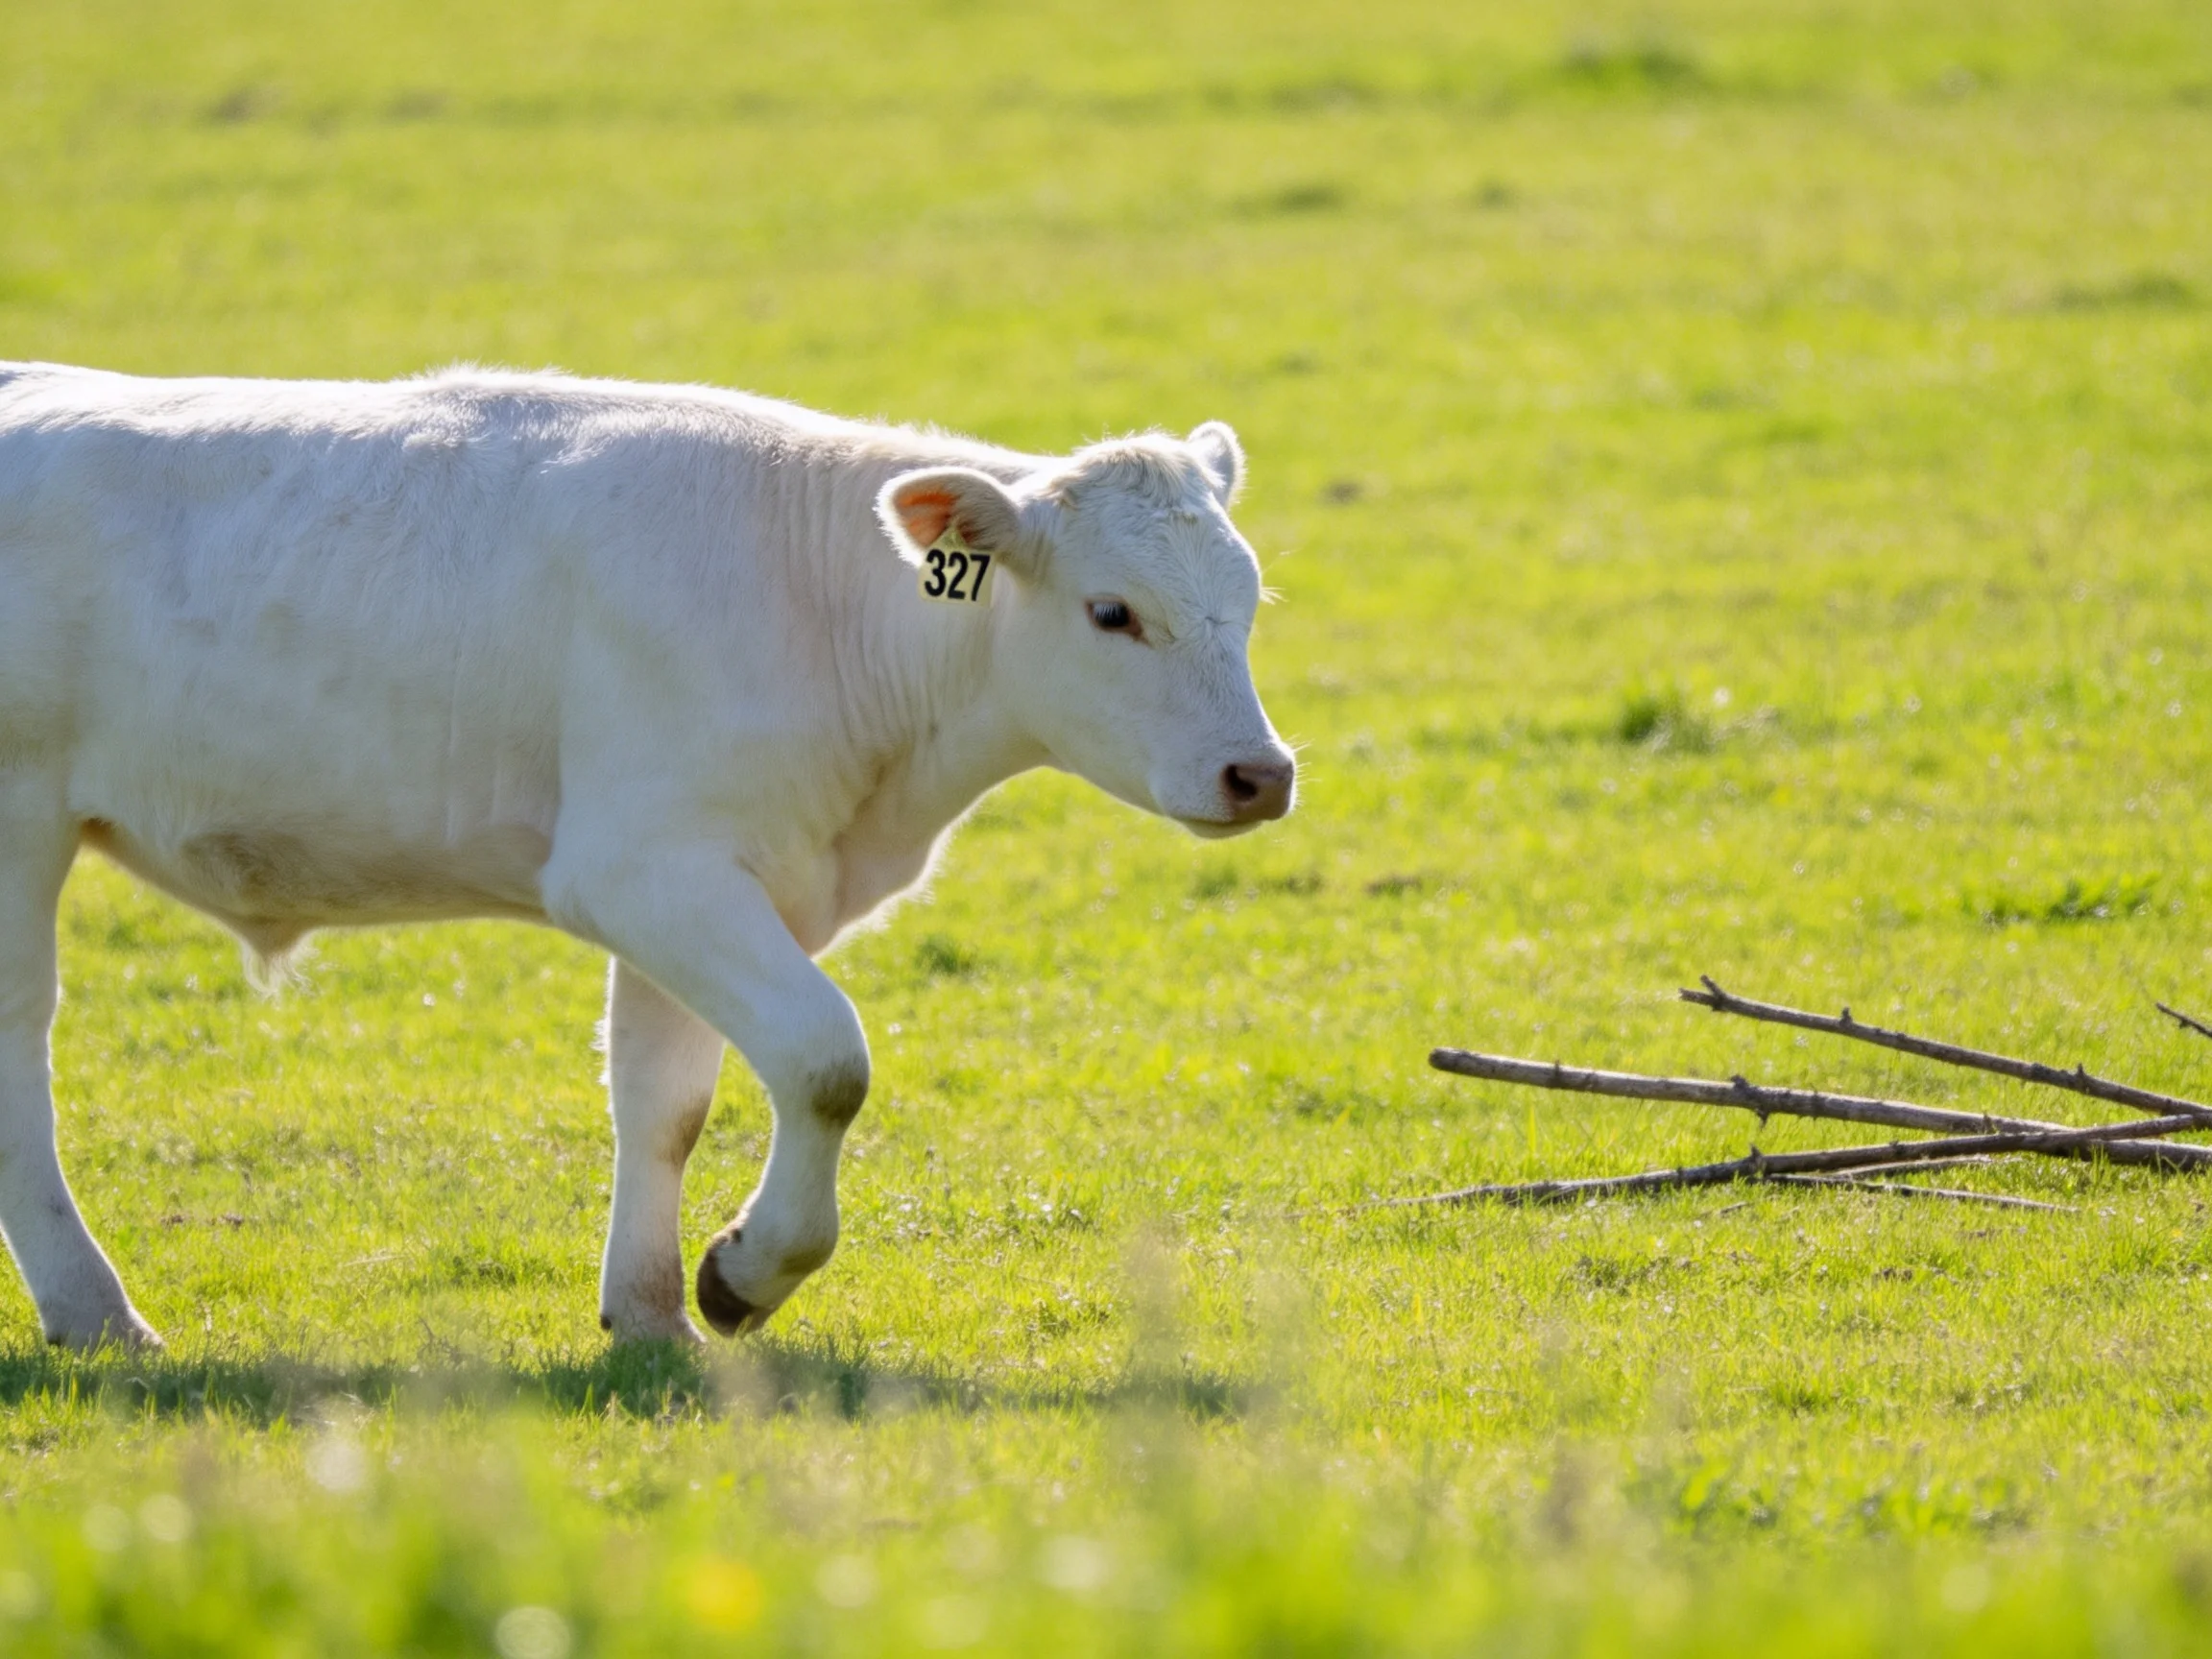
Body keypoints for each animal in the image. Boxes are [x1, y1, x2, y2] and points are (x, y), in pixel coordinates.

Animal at [0, 362, 1296, 1351]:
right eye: (1112, 612)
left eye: (1248, 600)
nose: (1262, 773)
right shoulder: (645, 870)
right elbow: (826, 1061)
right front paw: (750, 1272)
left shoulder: (701, 884)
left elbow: (663, 1104)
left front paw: (653, 1313)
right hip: (19, 824)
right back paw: (95, 1311)